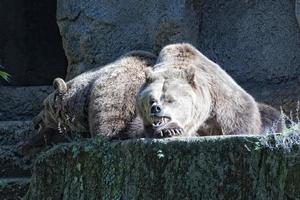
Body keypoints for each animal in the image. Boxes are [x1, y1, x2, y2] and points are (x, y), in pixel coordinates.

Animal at [136, 43, 282, 138]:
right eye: (151, 100)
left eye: (170, 99)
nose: (156, 108)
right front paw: (167, 131)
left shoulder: (223, 103)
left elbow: (240, 121)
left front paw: (170, 130)